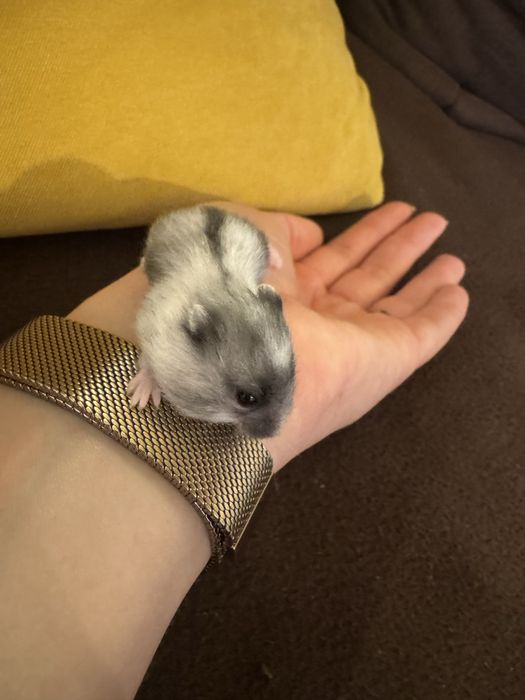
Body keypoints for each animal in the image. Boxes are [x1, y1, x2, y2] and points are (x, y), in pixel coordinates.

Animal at [127, 205, 295, 439]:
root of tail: (202, 207)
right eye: (246, 398)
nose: (270, 435)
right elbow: (149, 364)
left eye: (293, 373)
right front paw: (140, 398)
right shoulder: (150, 326)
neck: (221, 294)